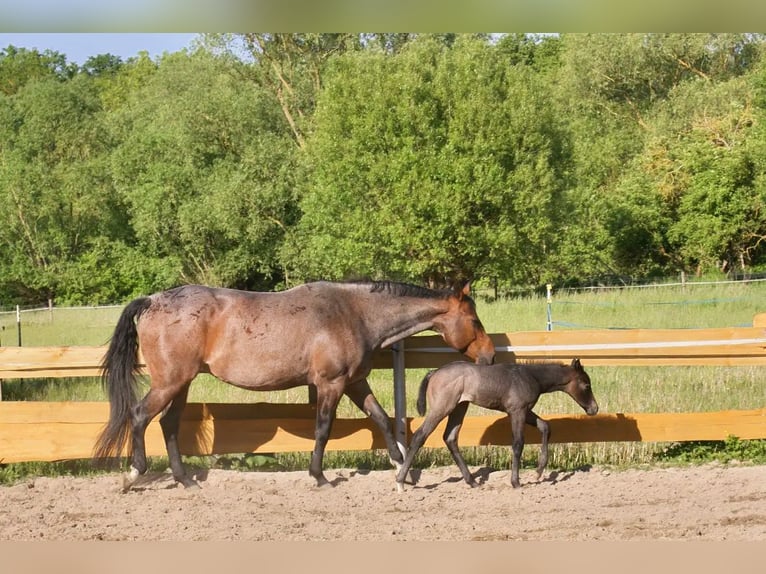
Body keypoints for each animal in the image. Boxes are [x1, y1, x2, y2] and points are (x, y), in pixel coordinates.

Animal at [92, 280, 496, 491]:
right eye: (475, 321)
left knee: (169, 424)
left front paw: (402, 472)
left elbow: (381, 418)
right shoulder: (331, 384)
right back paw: (135, 473)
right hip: (170, 382)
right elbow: (323, 429)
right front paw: (320, 477)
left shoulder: (355, 383)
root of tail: (152, 300)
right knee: (140, 416)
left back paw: (186, 481)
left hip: (182, 384)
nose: (491, 356)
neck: (353, 313)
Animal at [395, 358, 598, 491]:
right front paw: (516, 482)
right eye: (587, 385)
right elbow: (518, 443)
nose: (594, 409)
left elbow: (545, 426)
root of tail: (434, 372)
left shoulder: (524, 410)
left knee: (450, 437)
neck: (531, 376)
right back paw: (401, 479)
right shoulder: (517, 411)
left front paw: (539, 471)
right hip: (442, 407)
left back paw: (472, 481)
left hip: (460, 407)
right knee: (420, 435)